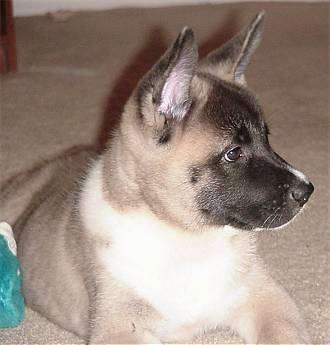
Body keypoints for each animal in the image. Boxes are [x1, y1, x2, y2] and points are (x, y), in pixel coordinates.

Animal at [0, 12, 314, 342]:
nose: (307, 191)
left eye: (266, 138)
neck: (186, 240)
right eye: (233, 153)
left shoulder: (267, 300)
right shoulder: (119, 327)